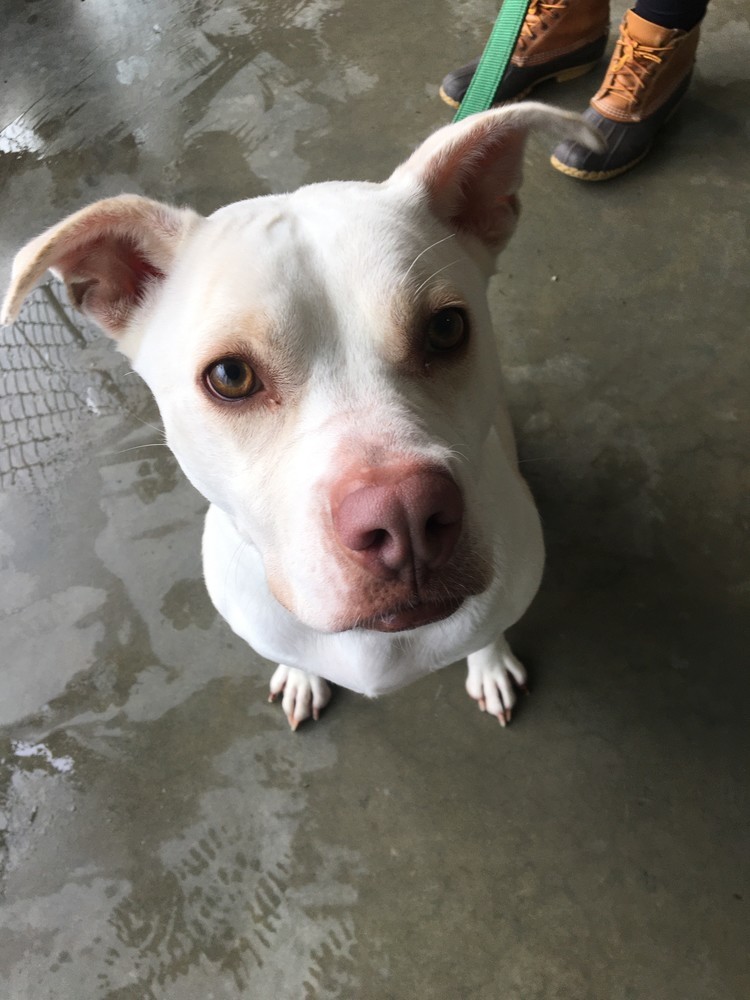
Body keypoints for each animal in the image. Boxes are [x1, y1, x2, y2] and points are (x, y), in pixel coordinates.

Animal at [0, 99, 600, 728]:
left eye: (445, 328)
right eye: (230, 376)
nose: (405, 515)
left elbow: (489, 632)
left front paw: (490, 665)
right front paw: (300, 675)